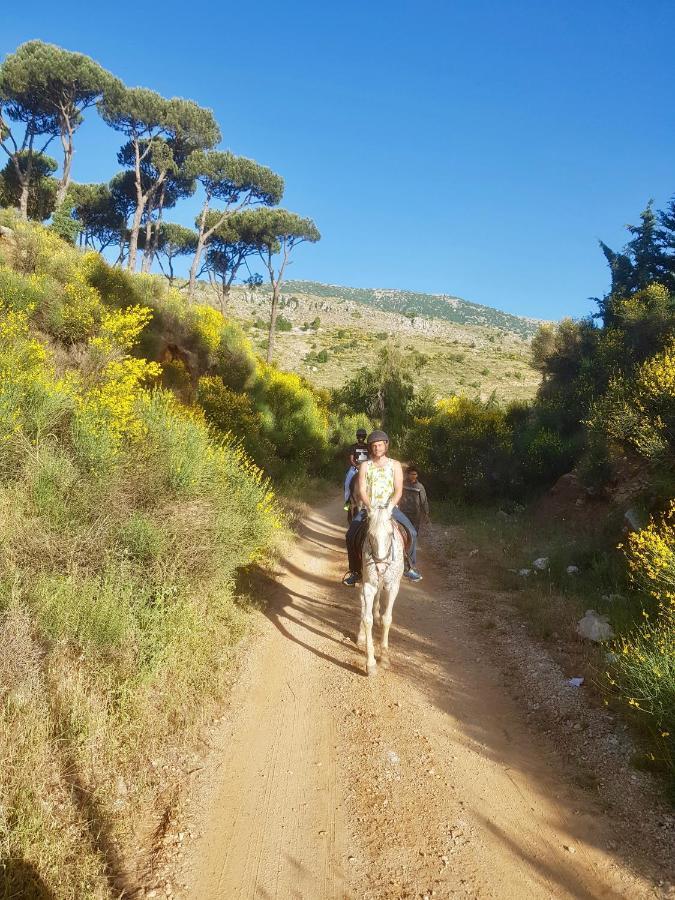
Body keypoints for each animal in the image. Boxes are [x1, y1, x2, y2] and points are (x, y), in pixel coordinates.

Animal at [356, 506, 404, 676]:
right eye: (370, 535)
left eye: (390, 534)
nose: (381, 567)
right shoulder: (368, 585)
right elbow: (367, 619)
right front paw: (370, 663)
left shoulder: (393, 586)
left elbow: (387, 619)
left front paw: (384, 657)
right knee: (363, 604)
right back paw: (360, 636)